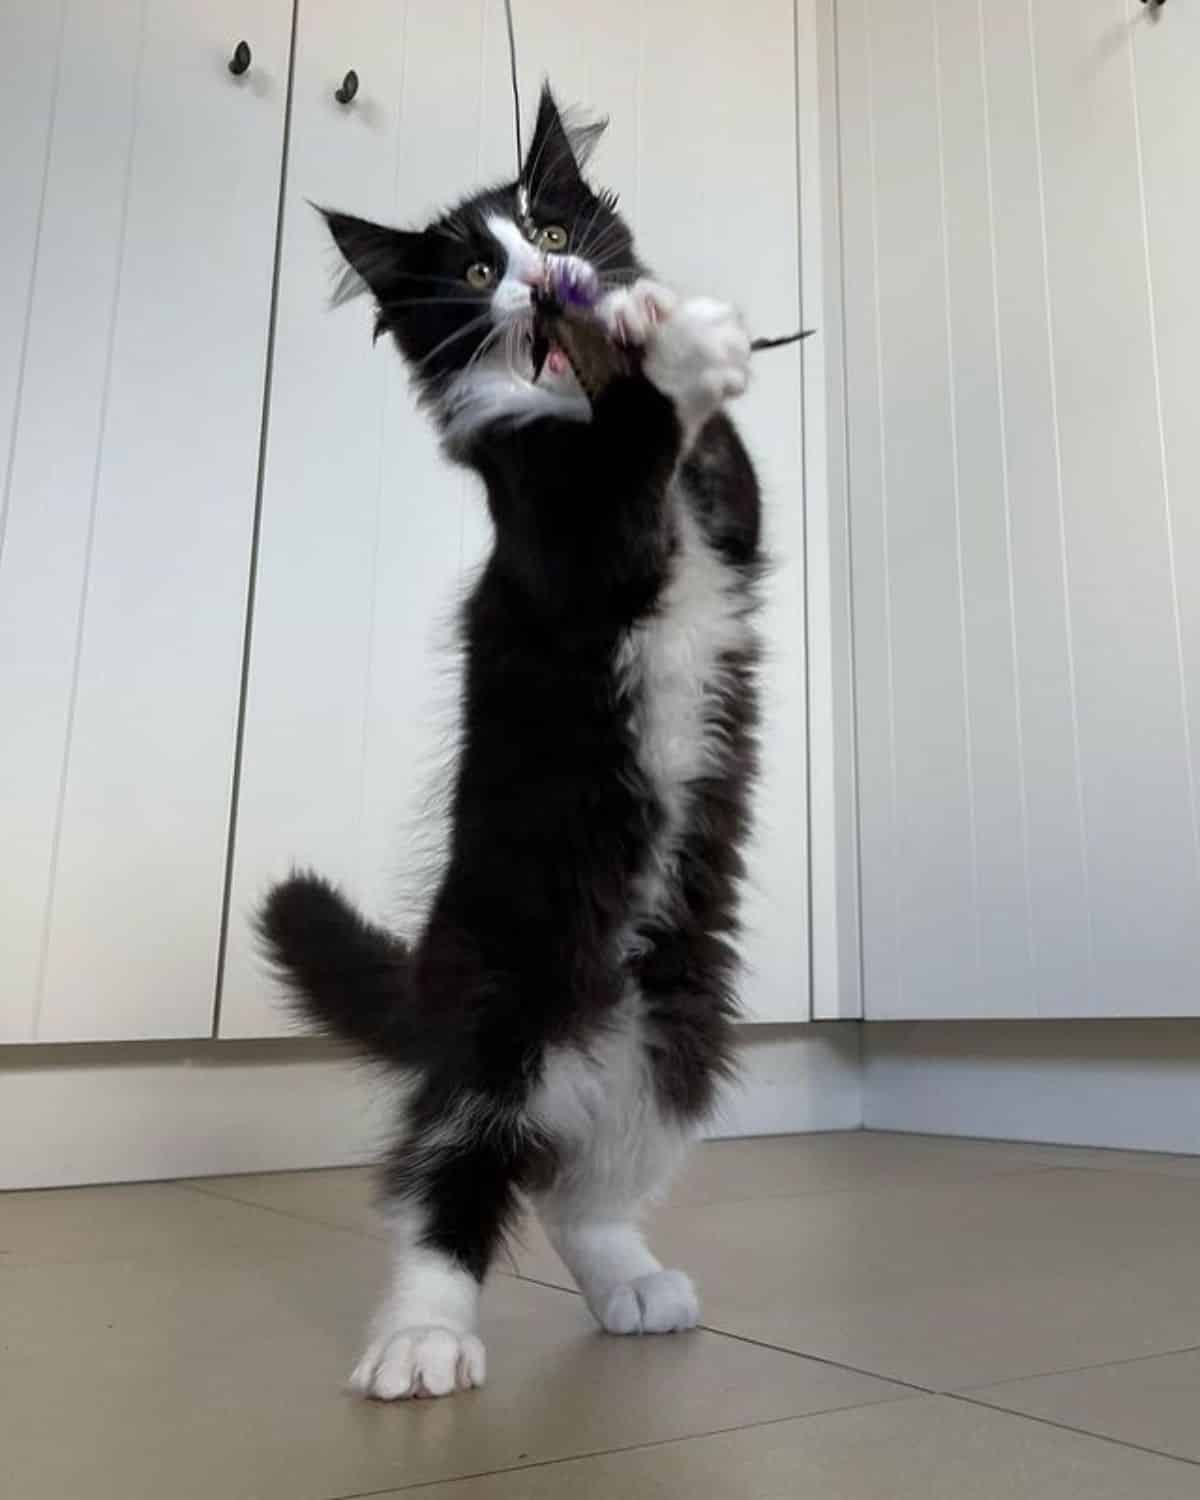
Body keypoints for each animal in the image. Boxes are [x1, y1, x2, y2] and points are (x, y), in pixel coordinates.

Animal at [261, 87, 765, 1398]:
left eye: (548, 223)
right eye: (479, 270)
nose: (547, 277)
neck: (567, 409)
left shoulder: (730, 528)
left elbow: (726, 474)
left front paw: (652, 318)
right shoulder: (566, 539)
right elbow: (637, 450)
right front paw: (672, 358)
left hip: (677, 1035)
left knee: (577, 1190)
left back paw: (631, 1283)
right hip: (501, 1006)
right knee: (449, 1177)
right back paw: (421, 1339)